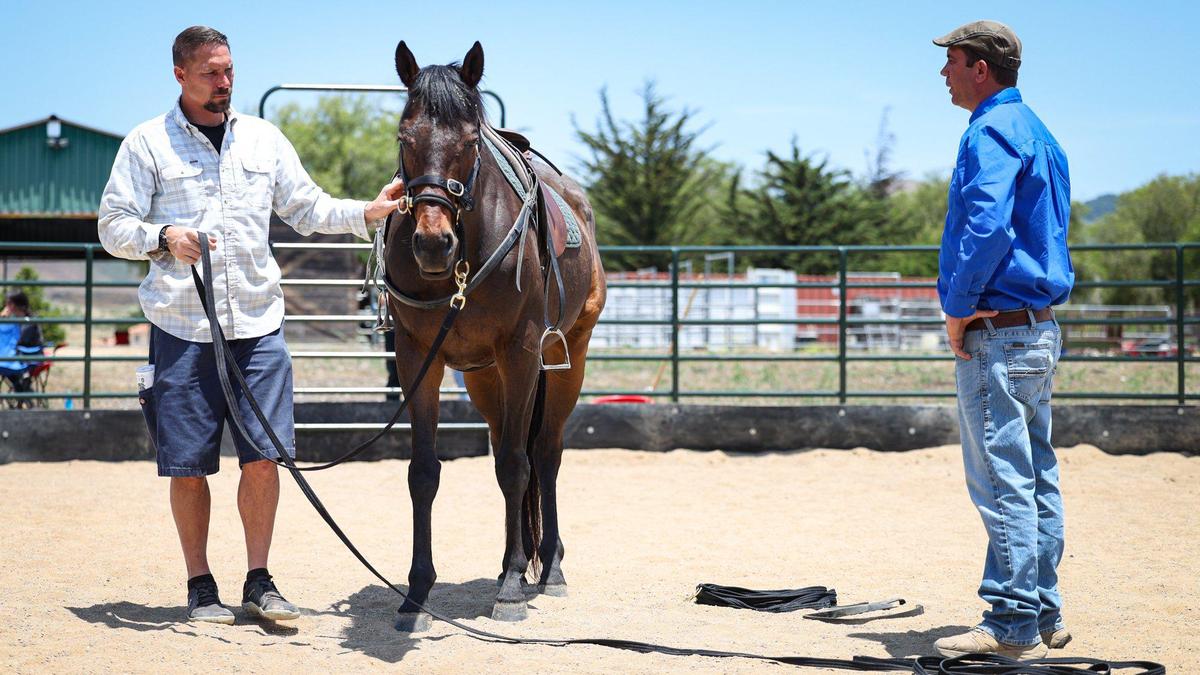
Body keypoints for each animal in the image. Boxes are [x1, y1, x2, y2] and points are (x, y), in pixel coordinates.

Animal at [381, 41, 607, 629]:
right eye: (404, 137)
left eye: (469, 140)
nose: (431, 242)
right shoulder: (418, 357)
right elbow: (424, 472)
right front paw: (417, 592)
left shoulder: (522, 352)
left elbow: (515, 465)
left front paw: (508, 588)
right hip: (485, 379)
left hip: (568, 359)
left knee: (543, 455)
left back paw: (546, 567)